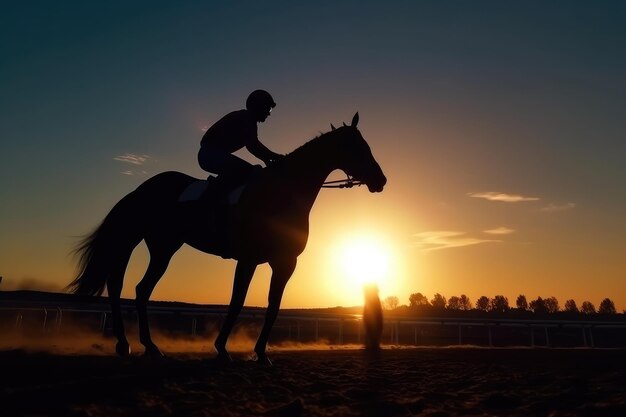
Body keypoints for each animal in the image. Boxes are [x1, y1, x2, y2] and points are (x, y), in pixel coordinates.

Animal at [68, 112, 386, 362]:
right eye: (358, 147)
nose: (381, 180)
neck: (282, 195)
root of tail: (141, 189)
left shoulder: (285, 263)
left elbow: (273, 307)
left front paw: (261, 353)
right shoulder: (248, 259)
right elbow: (237, 302)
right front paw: (222, 348)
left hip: (162, 246)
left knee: (136, 288)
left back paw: (141, 345)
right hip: (145, 242)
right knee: (125, 285)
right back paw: (133, 344)